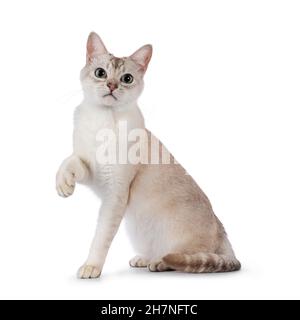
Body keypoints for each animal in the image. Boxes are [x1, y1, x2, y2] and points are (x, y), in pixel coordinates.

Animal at [55, 31, 240, 278]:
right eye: (100, 73)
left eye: (127, 79)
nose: (112, 85)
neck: (101, 121)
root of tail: (222, 231)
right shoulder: (91, 170)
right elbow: (69, 161)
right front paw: (64, 186)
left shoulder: (115, 191)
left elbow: (101, 237)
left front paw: (91, 267)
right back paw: (143, 259)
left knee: (183, 257)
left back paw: (159, 263)